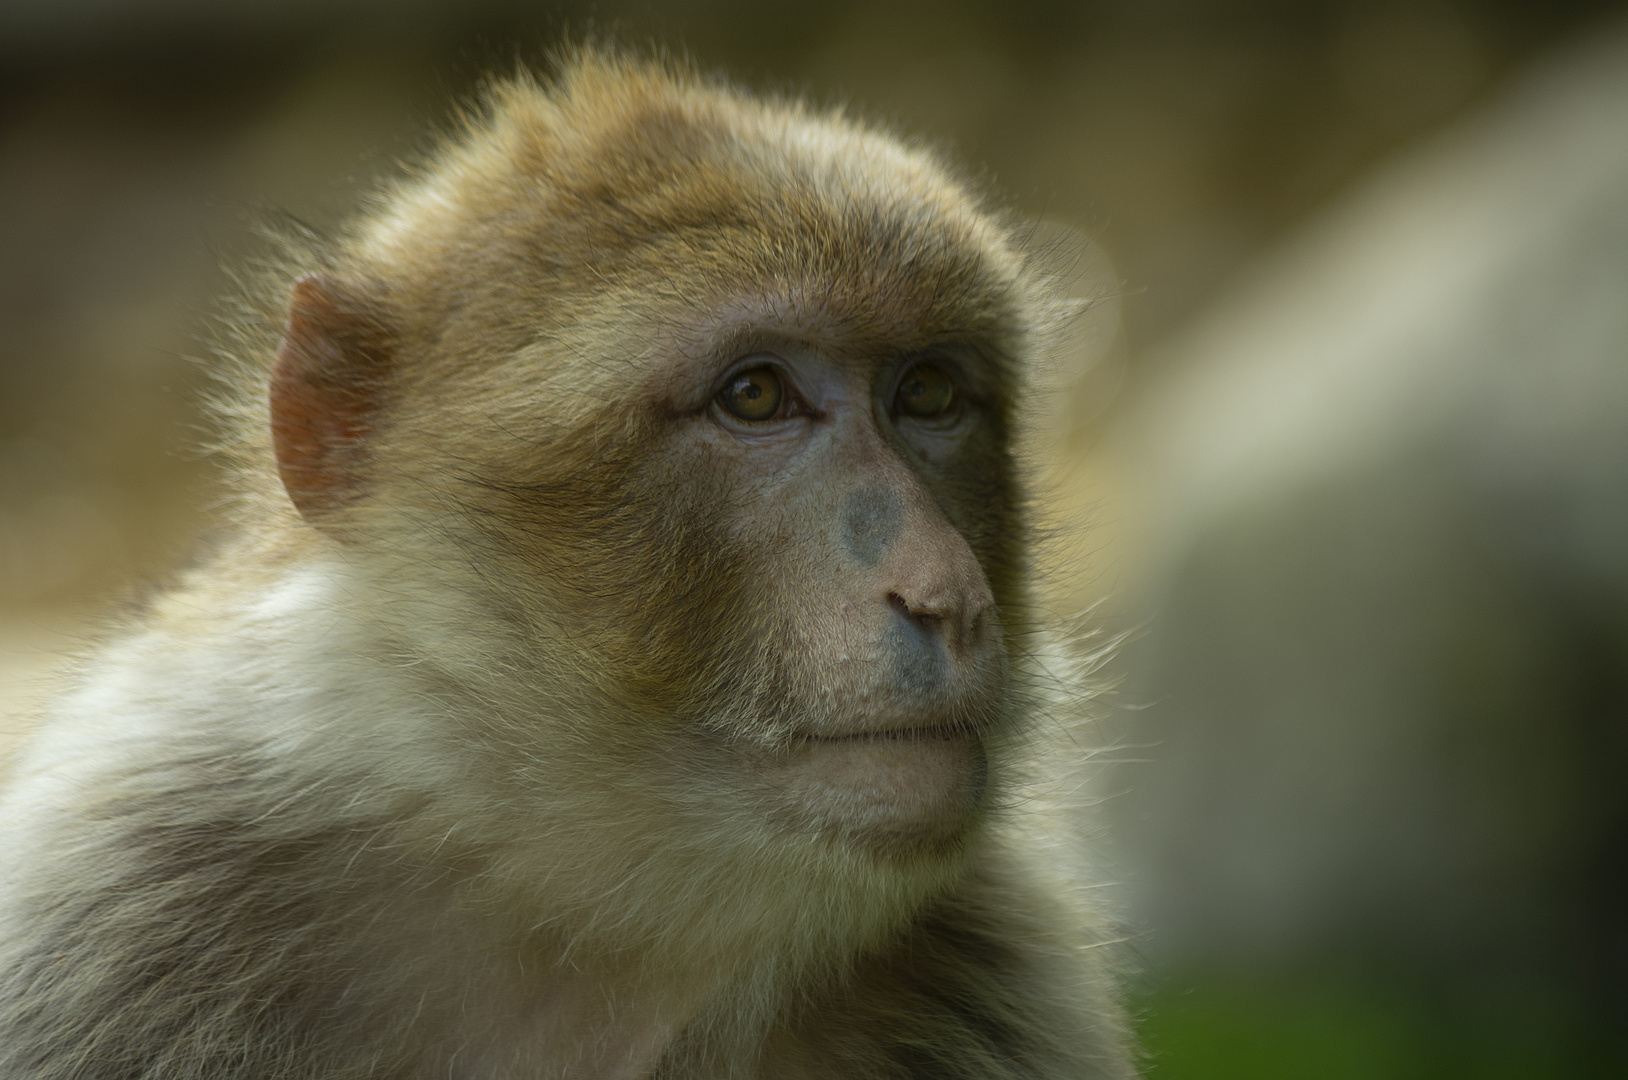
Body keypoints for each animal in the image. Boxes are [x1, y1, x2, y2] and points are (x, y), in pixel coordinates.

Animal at [0, 50, 1133, 1080]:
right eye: (755, 395)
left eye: (928, 393)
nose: (947, 595)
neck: (585, 920)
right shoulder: (116, 908)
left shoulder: (1001, 965)